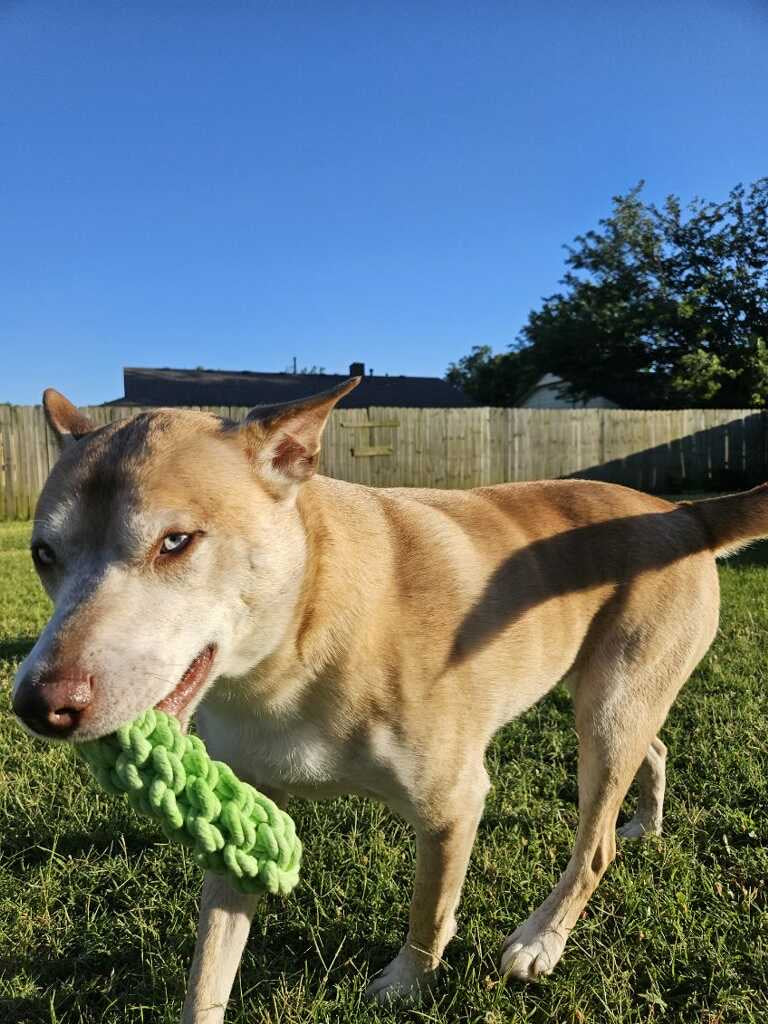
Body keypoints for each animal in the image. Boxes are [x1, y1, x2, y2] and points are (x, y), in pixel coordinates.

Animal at [12, 380, 768, 1019]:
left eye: (176, 541)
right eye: (43, 554)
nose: (38, 704)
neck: (296, 641)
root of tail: (682, 513)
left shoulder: (451, 805)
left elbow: (428, 912)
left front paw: (407, 984)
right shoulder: (243, 819)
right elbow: (209, 968)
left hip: (608, 711)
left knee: (595, 844)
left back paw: (541, 939)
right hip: (615, 695)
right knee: (654, 748)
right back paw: (646, 821)